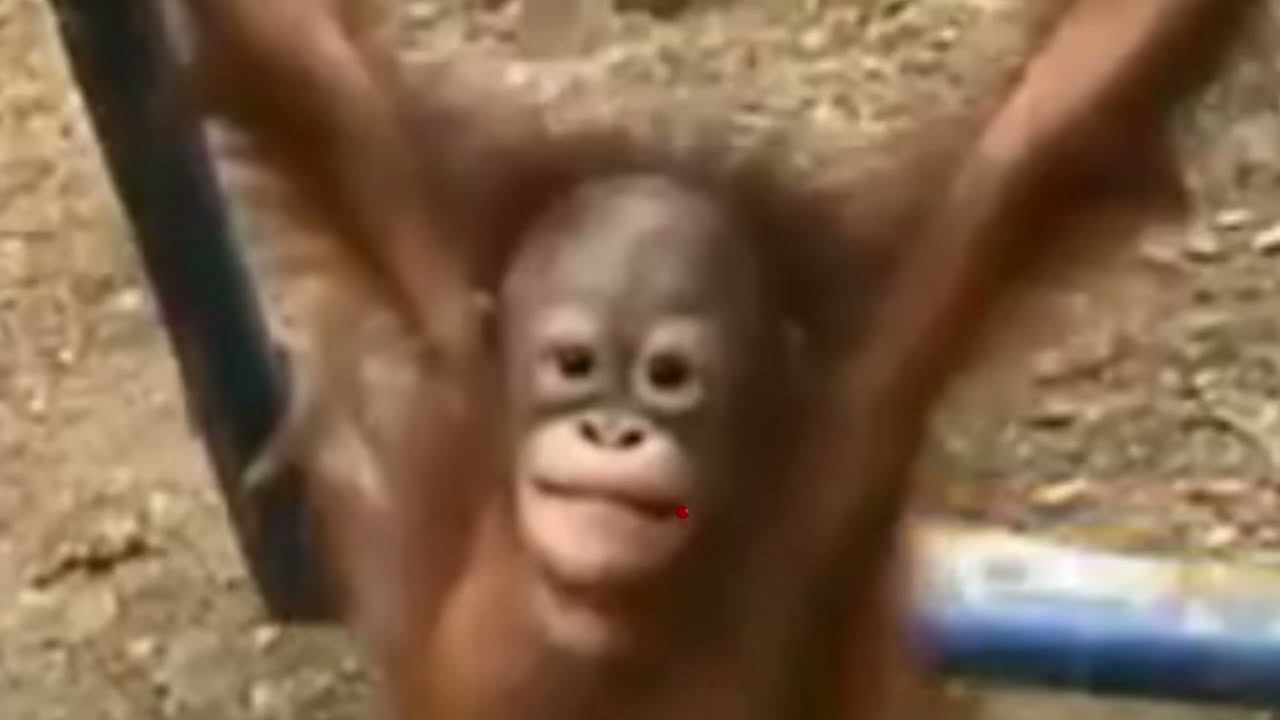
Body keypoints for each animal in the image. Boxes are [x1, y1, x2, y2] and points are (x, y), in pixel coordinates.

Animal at [173, 0, 1258, 717]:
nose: (610, 431)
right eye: (572, 362)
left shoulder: (859, 400)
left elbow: (1064, 99)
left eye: (668, 378)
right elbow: (304, 59)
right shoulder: (445, 289)